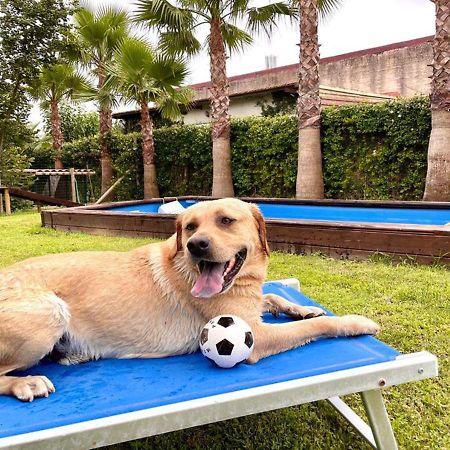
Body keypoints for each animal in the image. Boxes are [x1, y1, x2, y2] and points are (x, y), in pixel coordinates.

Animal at [0, 199, 380, 402]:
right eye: (190, 226)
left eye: (226, 220)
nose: (196, 245)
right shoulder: (256, 338)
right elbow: (322, 324)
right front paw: (353, 322)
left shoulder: (251, 306)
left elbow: (273, 294)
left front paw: (302, 308)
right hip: (49, 312)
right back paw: (25, 382)